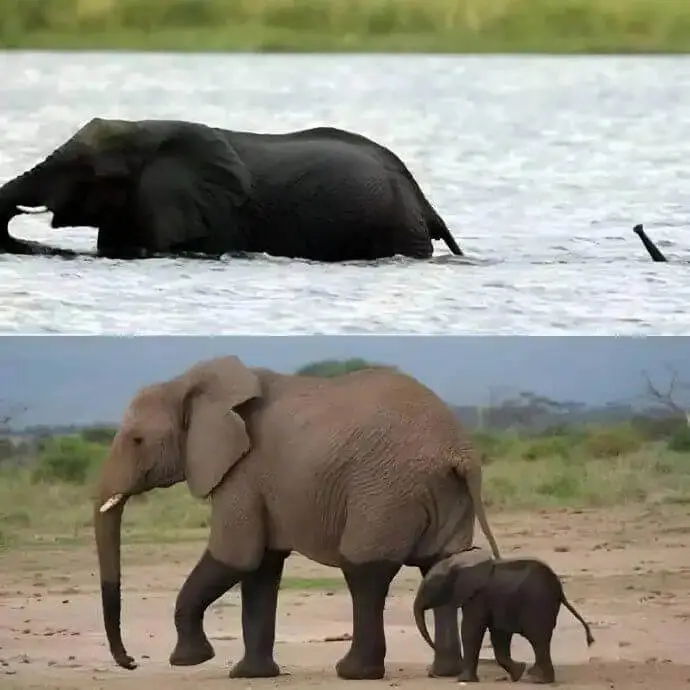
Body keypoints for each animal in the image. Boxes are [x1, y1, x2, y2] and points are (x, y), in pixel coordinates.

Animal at [93, 355, 501, 681]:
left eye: (137, 440)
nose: (130, 661)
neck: (192, 386)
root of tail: (459, 450)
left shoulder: (243, 473)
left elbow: (235, 557)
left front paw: (189, 661)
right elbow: (261, 569)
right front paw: (250, 675)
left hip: (384, 492)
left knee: (365, 572)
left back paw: (354, 672)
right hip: (442, 491)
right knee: (440, 564)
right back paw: (444, 672)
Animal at [413, 548, 594, 684]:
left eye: (432, 584)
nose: (431, 674)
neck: (460, 561)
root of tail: (560, 590)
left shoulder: (478, 597)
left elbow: (471, 630)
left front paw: (463, 680)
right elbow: (499, 635)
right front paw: (518, 672)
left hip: (538, 603)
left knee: (538, 639)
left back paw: (538, 679)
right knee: (540, 640)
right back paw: (535, 676)